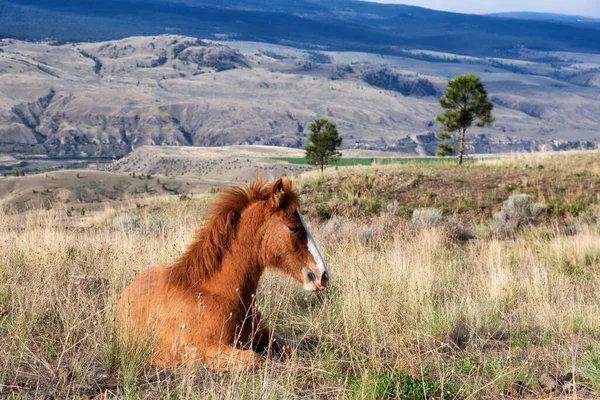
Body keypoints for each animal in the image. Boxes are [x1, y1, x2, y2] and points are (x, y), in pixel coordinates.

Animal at [116, 179, 328, 372]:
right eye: (293, 227)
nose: (322, 276)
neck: (219, 293)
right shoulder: (201, 352)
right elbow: (255, 359)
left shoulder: (263, 334)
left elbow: (299, 346)